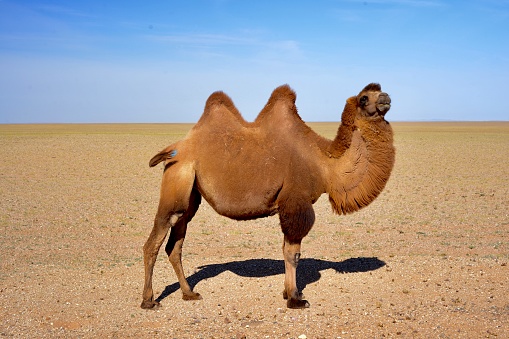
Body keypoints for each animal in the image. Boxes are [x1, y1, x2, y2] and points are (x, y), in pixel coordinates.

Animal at [141, 83, 394, 310]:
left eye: (380, 89)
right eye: (364, 98)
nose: (386, 98)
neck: (323, 164)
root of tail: (173, 149)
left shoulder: (288, 206)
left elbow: (285, 250)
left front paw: (288, 292)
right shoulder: (296, 202)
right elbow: (293, 254)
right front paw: (295, 299)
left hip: (190, 196)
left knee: (175, 245)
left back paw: (189, 293)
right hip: (176, 182)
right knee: (154, 242)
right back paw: (149, 300)